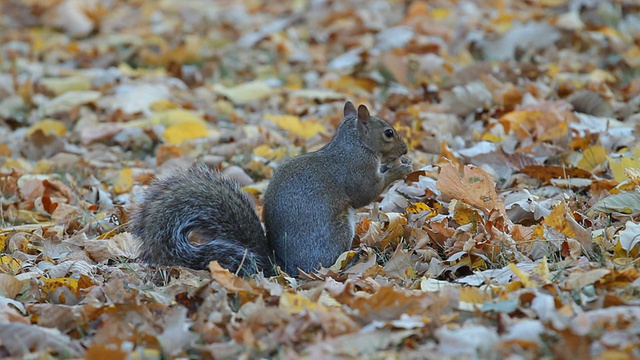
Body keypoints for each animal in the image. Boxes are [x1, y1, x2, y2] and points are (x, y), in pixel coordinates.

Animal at [129, 101, 410, 276]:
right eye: (388, 132)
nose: (405, 148)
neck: (354, 144)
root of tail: (281, 267)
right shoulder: (355, 171)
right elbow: (367, 192)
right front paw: (400, 169)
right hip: (336, 232)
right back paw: (349, 259)